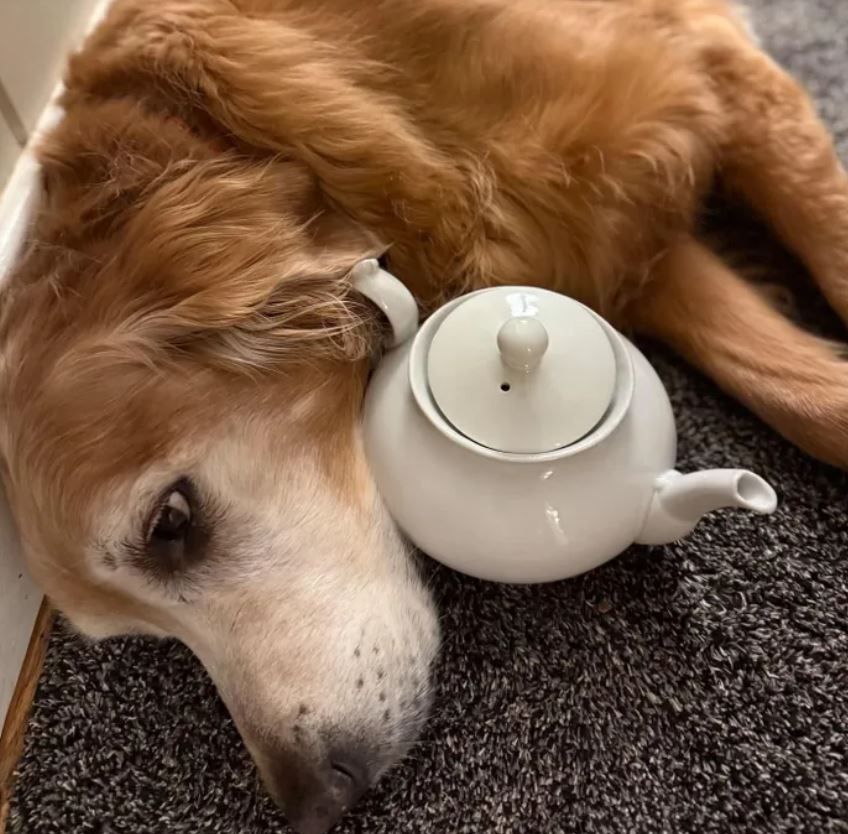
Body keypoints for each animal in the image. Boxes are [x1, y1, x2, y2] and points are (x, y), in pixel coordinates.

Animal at [2, 1, 847, 832]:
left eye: (170, 524)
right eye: (147, 637)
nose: (315, 806)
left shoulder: (707, 71)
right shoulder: (618, 242)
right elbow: (806, 399)